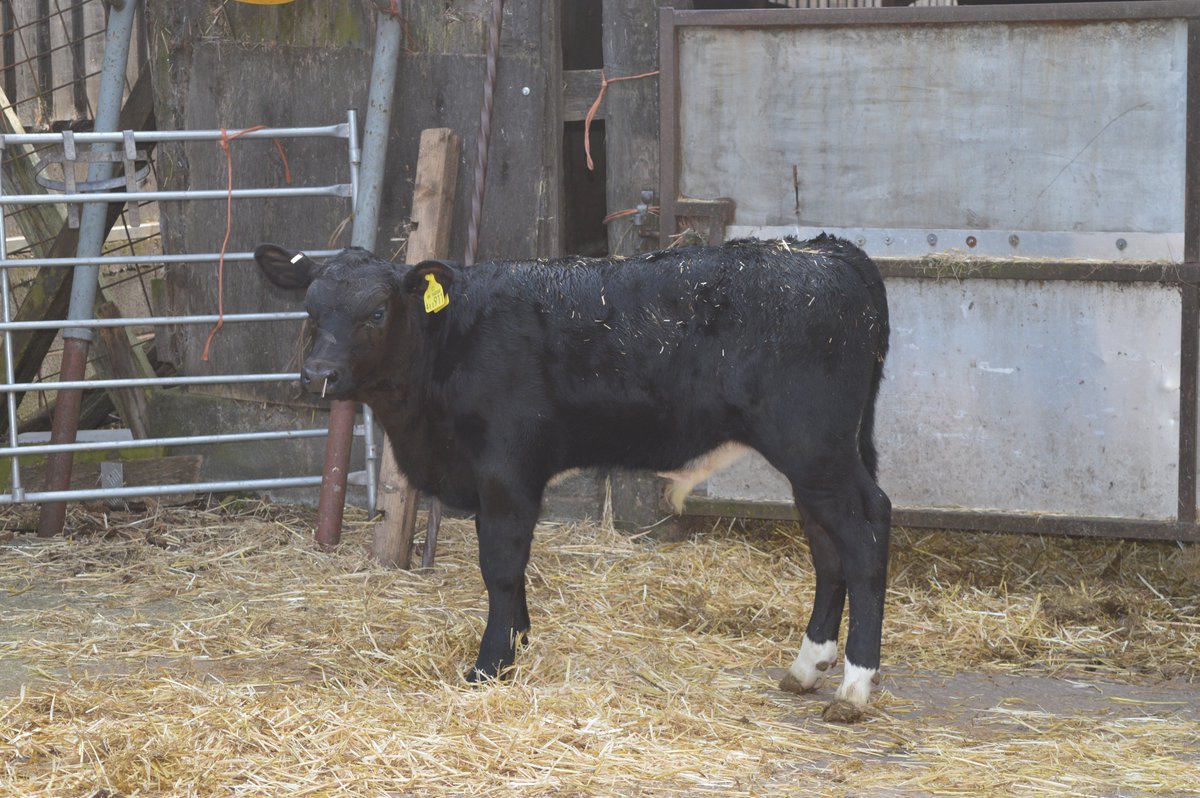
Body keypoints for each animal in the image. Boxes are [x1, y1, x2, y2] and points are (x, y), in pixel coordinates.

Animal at [255, 235, 891, 723]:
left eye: (376, 312)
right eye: (311, 311)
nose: (319, 374)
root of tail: (827, 250)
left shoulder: (506, 470)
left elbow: (500, 565)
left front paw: (490, 664)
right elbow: (510, 568)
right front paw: (518, 639)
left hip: (815, 450)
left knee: (865, 539)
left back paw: (855, 687)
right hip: (820, 459)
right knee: (831, 545)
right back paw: (807, 667)